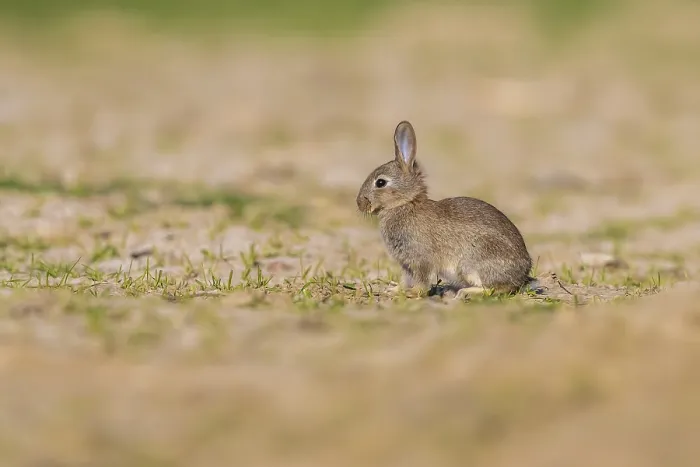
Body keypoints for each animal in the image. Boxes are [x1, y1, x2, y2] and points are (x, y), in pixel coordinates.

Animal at [356, 120, 536, 299]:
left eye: (380, 183)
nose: (359, 203)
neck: (405, 203)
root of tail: (522, 273)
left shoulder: (420, 259)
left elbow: (421, 283)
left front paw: (412, 293)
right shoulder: (407, 264)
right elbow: (406, 280)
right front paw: (394, 290)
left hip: (470, 264)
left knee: (499, 288)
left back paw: (465, 292)